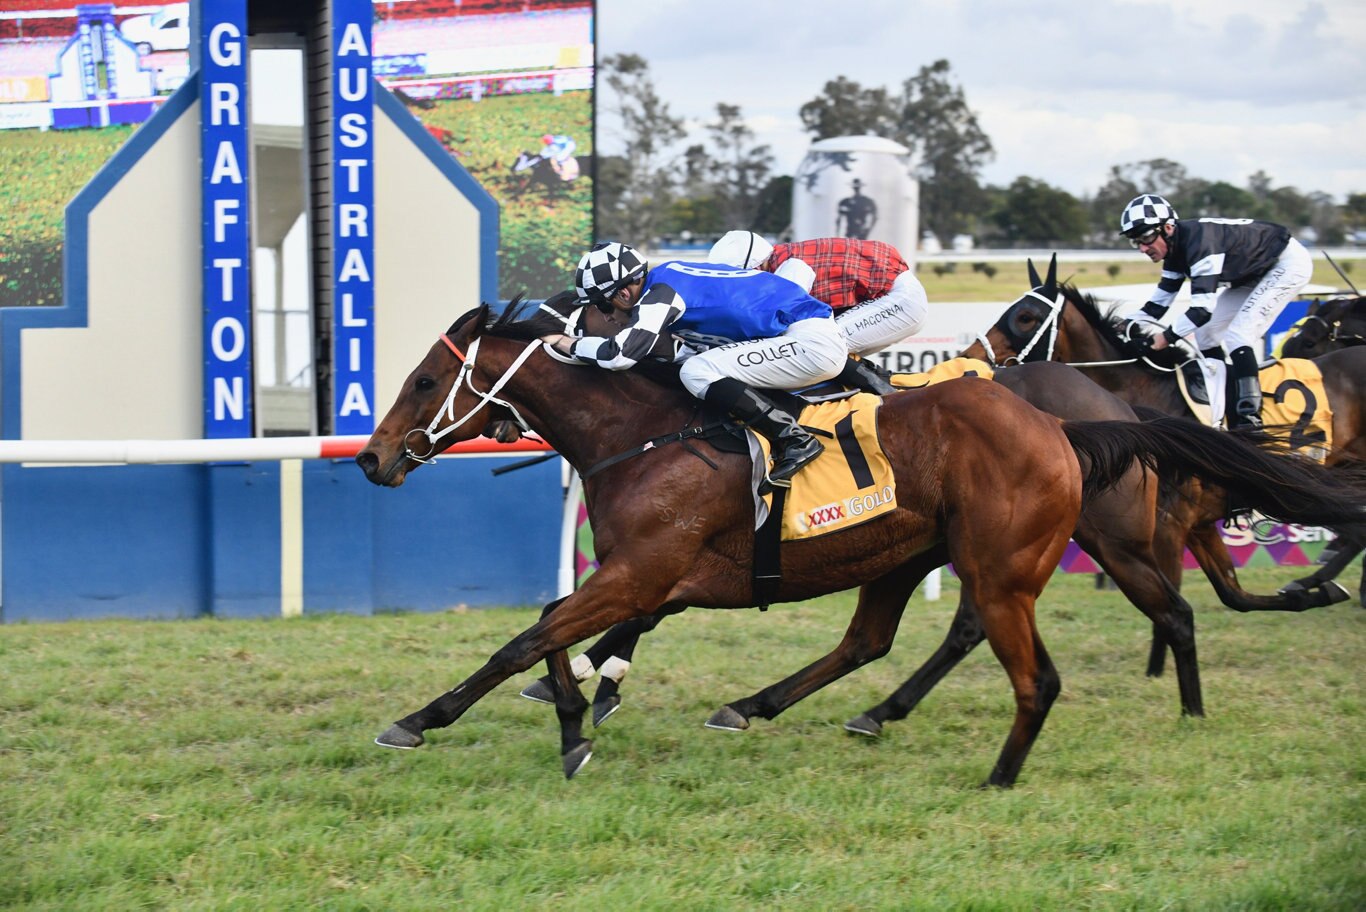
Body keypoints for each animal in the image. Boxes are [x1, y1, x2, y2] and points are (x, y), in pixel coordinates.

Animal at [355, 298, 1366, 786]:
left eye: (426, 378)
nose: (371, 457)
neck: (645, 433)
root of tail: (1067, 427)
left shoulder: (645, 571)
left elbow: (531, 633)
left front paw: (427, 719)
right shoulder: (655, 578)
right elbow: (557, 630)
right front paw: (576, 714)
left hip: (1031, 556)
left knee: (1124, 626)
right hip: (912, 554)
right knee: (873, 641)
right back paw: (790, 707)